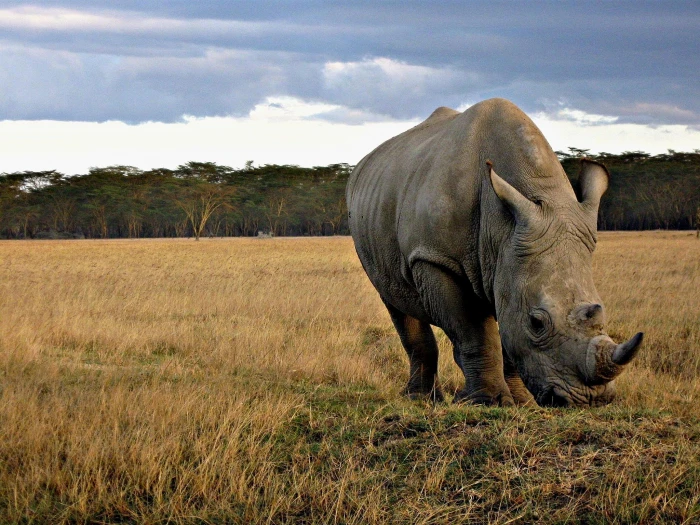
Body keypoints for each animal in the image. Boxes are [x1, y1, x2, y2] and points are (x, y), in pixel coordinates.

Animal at [346, 98, 643, 407]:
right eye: (536, 323)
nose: (589, 399)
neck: (501, 229)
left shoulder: (511, 257)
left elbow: (508, 336)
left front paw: (521, 402)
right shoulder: (436, 258)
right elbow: (474, 331)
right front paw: (489, 401)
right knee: (395, 301)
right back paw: (421, 399)